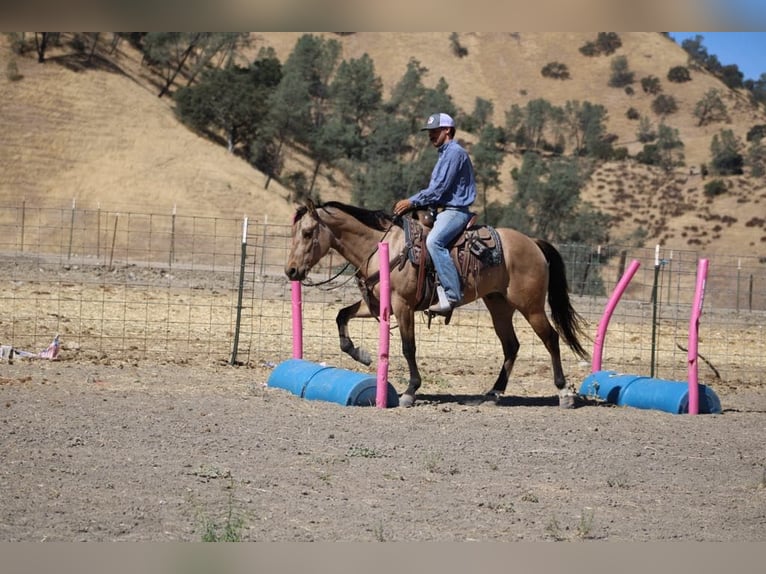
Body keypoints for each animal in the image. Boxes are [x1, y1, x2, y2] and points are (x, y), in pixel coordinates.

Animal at [285, 199, 588, 408]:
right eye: (294, 232)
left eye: (309, 233)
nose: (291, 271)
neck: (385, 247)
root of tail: (533, 243)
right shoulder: (376, 304)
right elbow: (341, 316)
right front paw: (361, 354)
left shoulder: (403, 306)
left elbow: (408, 348)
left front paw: (409, 391)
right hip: (499, 305)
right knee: (511, 345)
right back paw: (493, 393)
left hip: (531, 306)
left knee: (550, 338)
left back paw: (564, 393)